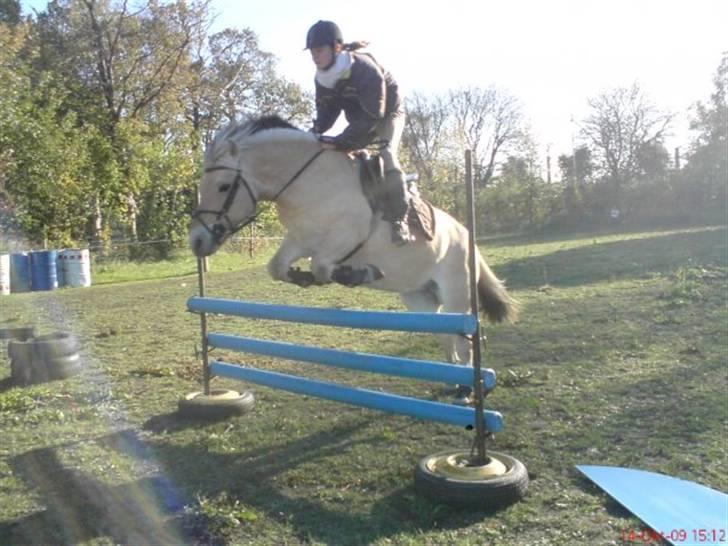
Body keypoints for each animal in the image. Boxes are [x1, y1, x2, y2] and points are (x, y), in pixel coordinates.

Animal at [189, 115, 518, 402]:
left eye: (223, 186)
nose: (197, 241)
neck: (308, 183)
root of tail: (467, 234)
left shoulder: (346, 236)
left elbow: (322, 265)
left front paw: (357, 273)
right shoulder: (300, 240)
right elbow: (278, 267)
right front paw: (303, 277)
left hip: (456, 292)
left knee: (464, 340)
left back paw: (468, 390)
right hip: (419, 296)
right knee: (447, 336)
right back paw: (455, 383)